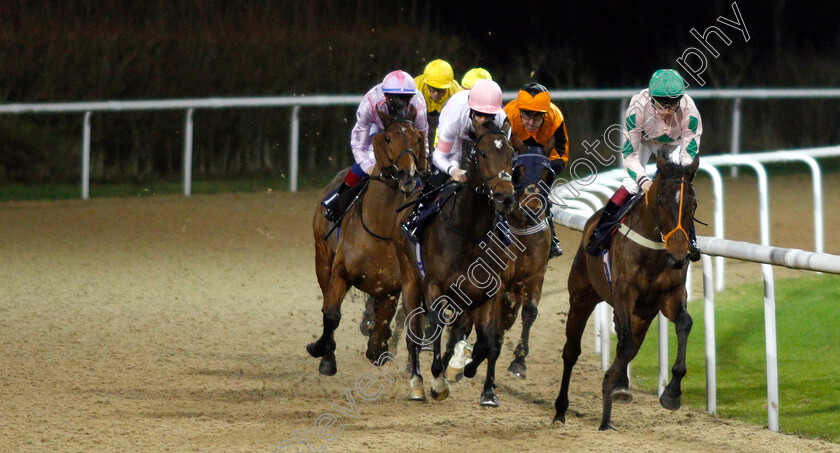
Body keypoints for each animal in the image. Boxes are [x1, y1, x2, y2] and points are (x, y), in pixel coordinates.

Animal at [306, 109, 426, 374]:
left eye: (417, 138)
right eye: (388, 138)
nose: (408, 175)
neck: (379, 228)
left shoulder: (391, 287)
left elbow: (380, 333)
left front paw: (380, 344)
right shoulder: (340, 272)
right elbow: (331, 314)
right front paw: (323, 353)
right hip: (322, 257)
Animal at [394, 118, 520, 404]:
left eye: (511, 154)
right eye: (482, 153)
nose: (505, 197)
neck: (470, 231)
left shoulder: (489, 292)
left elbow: (487, 341)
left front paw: (484, 386)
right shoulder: (433, 286)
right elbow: (435, 326)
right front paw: (438, 380)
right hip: (410, 280)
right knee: (414, 333)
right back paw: (417, 383)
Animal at [556, 151, 700, 428]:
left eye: (693, 205)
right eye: (661, 201)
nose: (679, 256)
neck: (654, 251)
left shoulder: (671, 294)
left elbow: (684, 324)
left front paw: (672, 393)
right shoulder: (624, 292)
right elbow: (624, 342)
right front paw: (622, 386)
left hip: (642, 316)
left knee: (626, 349)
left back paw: (606, 418)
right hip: (581, 296)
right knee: (571, 351)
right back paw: (560, 410)